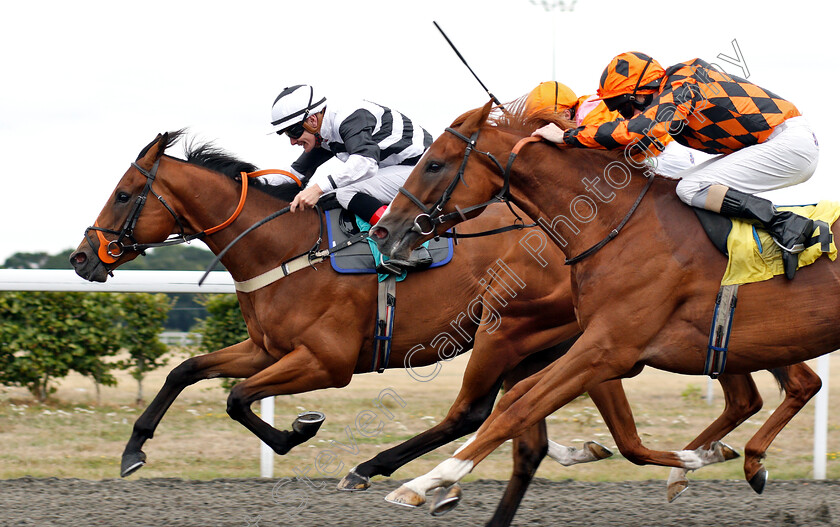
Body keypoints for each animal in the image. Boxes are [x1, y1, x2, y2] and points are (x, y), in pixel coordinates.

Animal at [372, 102, 828, 512]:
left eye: (434, 164)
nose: (384, 229)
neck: (616, 224)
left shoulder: (605, 348)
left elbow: (516, 410)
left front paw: (422, 482)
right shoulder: (597, 347)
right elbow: (521, 402)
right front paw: (696, 457)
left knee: (792, 387)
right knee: (774, 392)